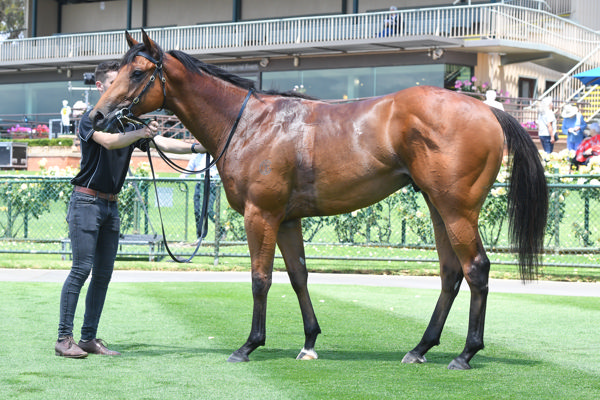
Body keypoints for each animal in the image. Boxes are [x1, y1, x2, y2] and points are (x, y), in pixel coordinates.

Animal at [90, 29, 548, 370]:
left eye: (136, 73)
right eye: (118, 72)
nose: (96, 117)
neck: (248, 123)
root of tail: (488, 110)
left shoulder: (261, 215)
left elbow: (260, 279)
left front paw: (249, 345)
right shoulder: (288, 220)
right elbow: (298, 276)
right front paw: (309, 341)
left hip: (457, 210)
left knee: (477, 269)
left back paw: (465, 353)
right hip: (438, 208)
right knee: (451, 273)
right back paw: (420, 348)